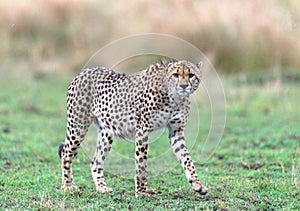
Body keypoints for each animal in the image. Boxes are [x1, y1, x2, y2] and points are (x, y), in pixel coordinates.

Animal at [58, 59, 209, 196]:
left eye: (191, 75)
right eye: (176, 75)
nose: (183, 86)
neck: (174, 97)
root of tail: (85, 71)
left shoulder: (176, 131)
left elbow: (187, 159)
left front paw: (197, 185)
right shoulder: (143, 130)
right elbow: (141, 163)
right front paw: (141, 192)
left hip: (106, 133)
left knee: (95, 161)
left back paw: (102, 187)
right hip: (78, 126)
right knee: (66, 152)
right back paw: (68, 185)